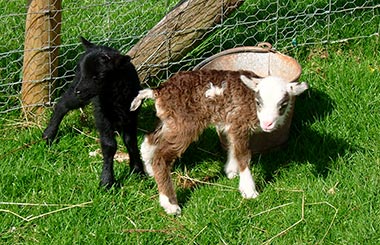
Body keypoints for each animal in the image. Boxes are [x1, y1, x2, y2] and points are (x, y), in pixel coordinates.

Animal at [131, 69, 308, 214]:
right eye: (259, 102)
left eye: (283, 105)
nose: (267, 124)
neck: (249, 98)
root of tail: (158, 91)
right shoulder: (239, 124)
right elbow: (243, 155)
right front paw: (248, 190)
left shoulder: (231, 123)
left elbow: (232, 146)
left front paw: (231, 171)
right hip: (184, 124)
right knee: (161, 156)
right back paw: (170, 205)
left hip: (169, 121)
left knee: (149, 141)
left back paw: (149, 171)